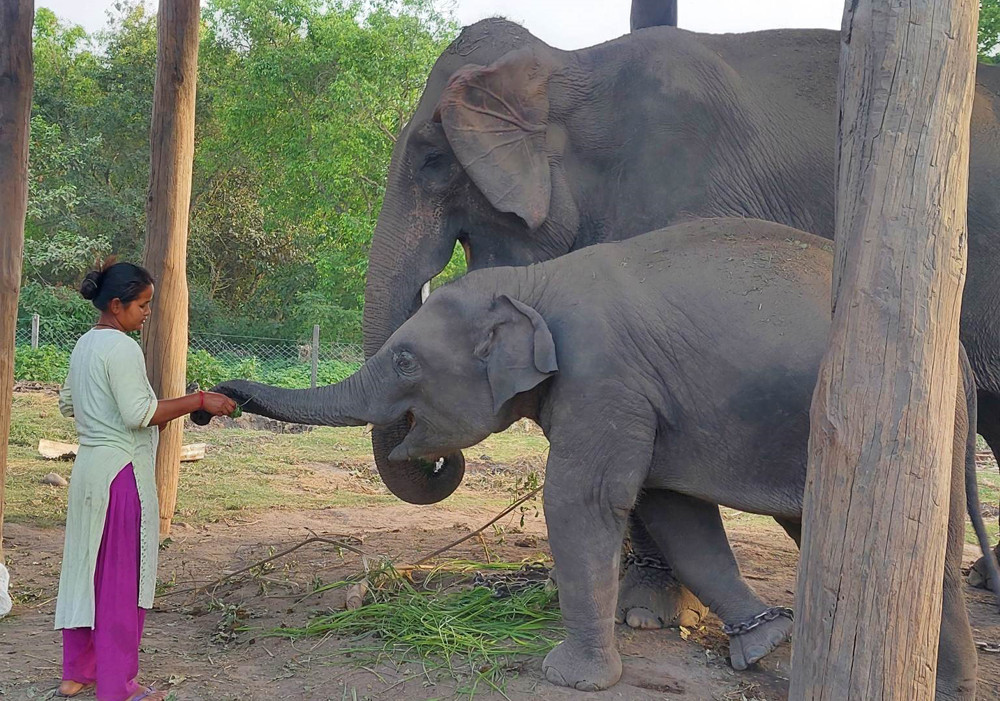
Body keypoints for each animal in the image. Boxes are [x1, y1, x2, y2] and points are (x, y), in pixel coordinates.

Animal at [199, 217, 996, 696]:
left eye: (402, 360)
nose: (218, 395)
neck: (532, 283)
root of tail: (957, 350)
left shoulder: (603, 375)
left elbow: (583, 499)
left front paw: (570, 677)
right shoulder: (643, 395)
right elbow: (671, 507)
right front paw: (764, 642)